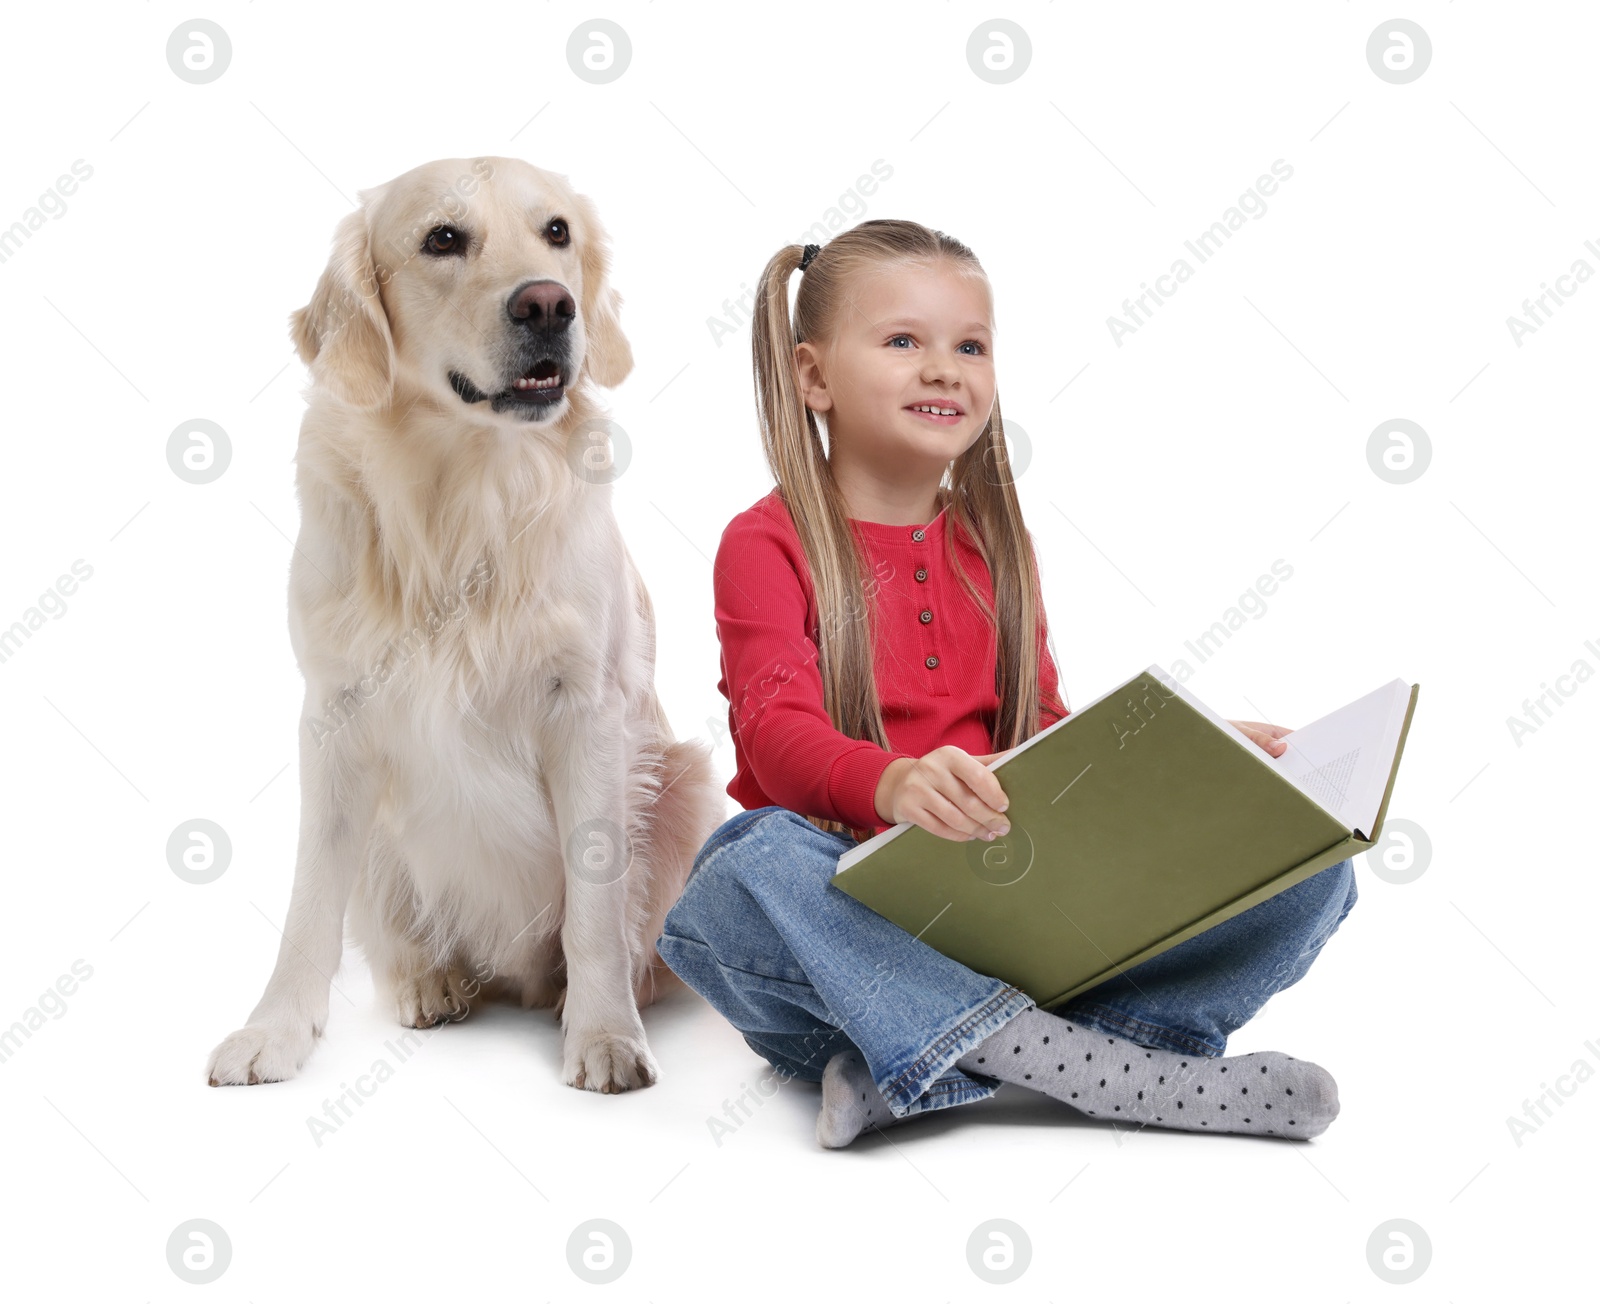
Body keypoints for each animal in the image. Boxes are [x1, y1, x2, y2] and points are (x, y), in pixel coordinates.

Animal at [206, 155, 726, 1094]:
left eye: (557, 231)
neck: (461, 490)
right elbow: (309, 905)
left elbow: (596, 908)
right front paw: (275, 1030)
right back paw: (432, 980)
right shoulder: (332, 720)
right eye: (443, 239)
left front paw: (604, 1035)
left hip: (688, 780)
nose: (549, 304)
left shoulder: (587, 714)